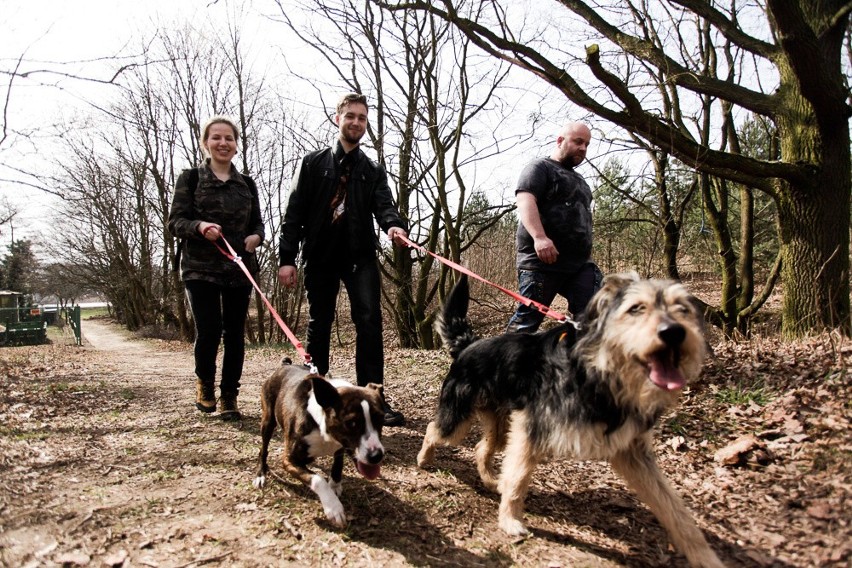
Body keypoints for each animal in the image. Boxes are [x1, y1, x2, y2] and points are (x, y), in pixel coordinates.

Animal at [253, 362, 386, 524]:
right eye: (351, 423)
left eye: (381, 419)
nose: (376, 456)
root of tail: (285, 364)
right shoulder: (289, 461)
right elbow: (318, 479)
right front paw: (333, 507)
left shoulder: (339, 448)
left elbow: (337, 465)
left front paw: (334, 485)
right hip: (268, 421)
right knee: (263, 449)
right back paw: (261, 474)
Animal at [416, 272, 724, 564]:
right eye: (636, 308)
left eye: (682, 309)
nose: (674, 332)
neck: (597, 371)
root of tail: (468, 345)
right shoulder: (531, 429)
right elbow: (518, 479)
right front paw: (510, 521)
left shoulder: (633, 452)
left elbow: (675, 509)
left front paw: (704, 555)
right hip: (458, 419)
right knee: (433, 429)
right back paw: (424, 459)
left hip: (501, 425)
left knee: (482, 448)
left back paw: (492, 481)